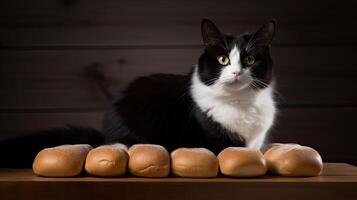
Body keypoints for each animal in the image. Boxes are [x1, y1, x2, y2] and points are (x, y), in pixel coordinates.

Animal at [0, 18, 276, 166]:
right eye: (223, 60)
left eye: (249, 60)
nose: (237, 72)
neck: (239, 102)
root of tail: (104, 132)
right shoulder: (211, 138)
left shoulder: (257, 140)